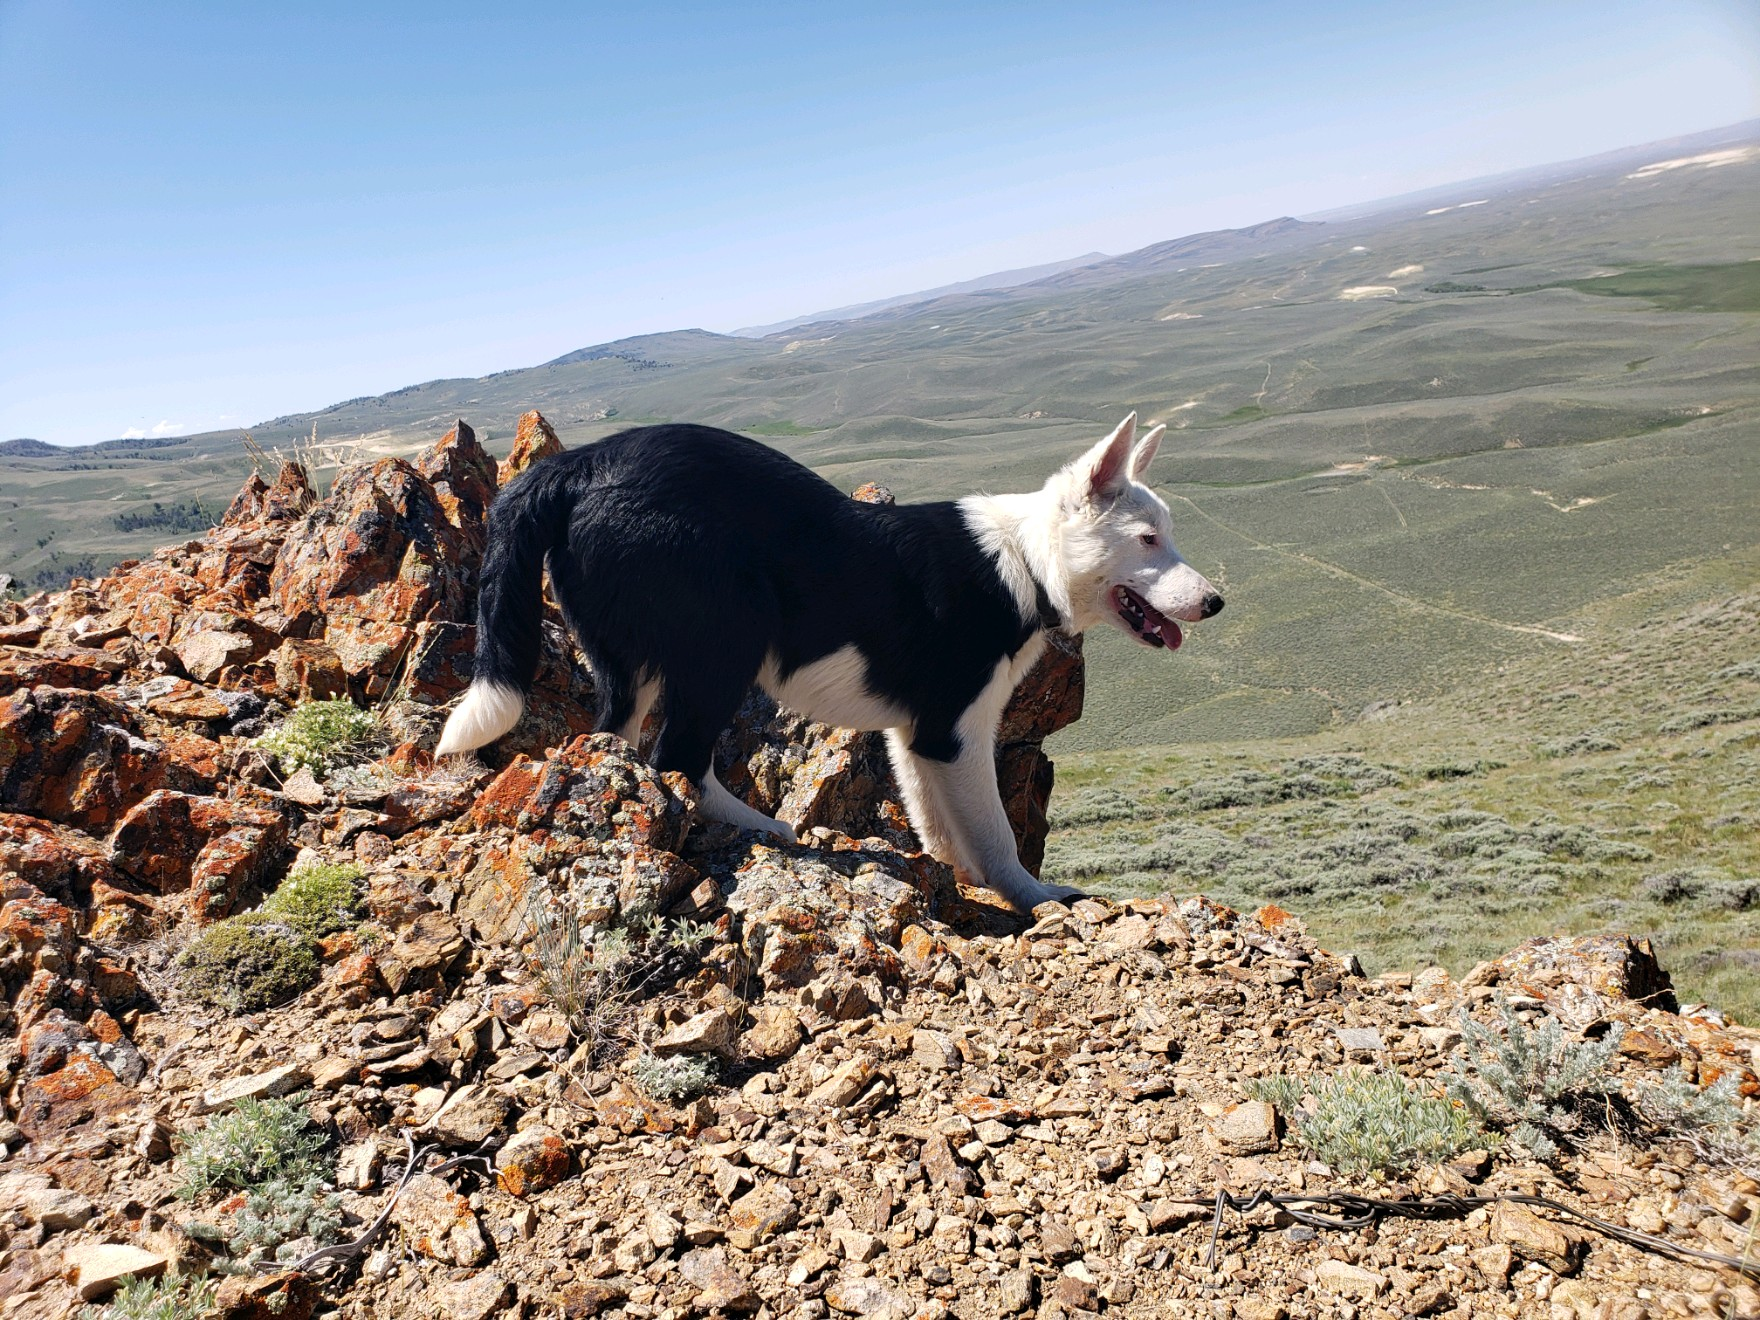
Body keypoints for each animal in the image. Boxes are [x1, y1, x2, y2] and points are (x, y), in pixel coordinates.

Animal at [432, 418, 1217, 915]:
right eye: (1148, 540)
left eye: (1167, 535)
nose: (1215, 601)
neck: (1024, 561)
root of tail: (580, 462)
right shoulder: (955, 732)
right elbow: (994, 833)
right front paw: (1038, 899)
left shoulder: (915, 738)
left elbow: (938, 827)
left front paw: (956, 882)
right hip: (726, 639)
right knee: (677, 754)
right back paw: (763, 828)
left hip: (632, 663)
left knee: (621, 743)